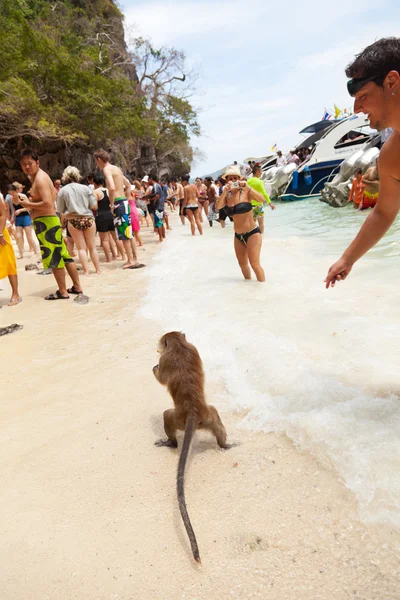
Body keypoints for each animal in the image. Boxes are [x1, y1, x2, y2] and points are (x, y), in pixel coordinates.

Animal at [152, 332, 230, 564]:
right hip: (210, 415)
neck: (179, 345)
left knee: (167, 416)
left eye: (164, 341)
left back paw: (170, 442)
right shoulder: (193, 348)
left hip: (177, 417)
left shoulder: (166, 358)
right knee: (217, 421)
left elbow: (162, 378)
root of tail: (193, 412)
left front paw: (155, 368)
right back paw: (225, 444)